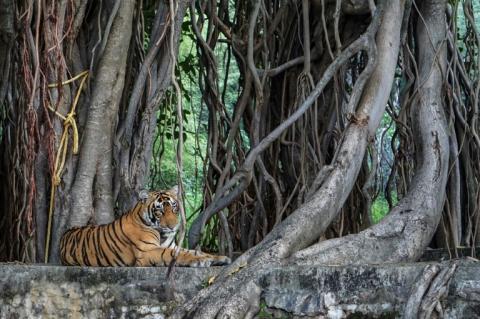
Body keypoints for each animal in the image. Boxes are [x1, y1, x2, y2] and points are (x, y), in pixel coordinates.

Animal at [59, 188, 232, 268]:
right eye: (159, 210)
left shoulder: (172, 245)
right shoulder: (147, 252)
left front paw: (219, 258)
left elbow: (195, 251)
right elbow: (174, 255)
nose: (173, 226)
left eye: (174, 207)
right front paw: (200, 261)